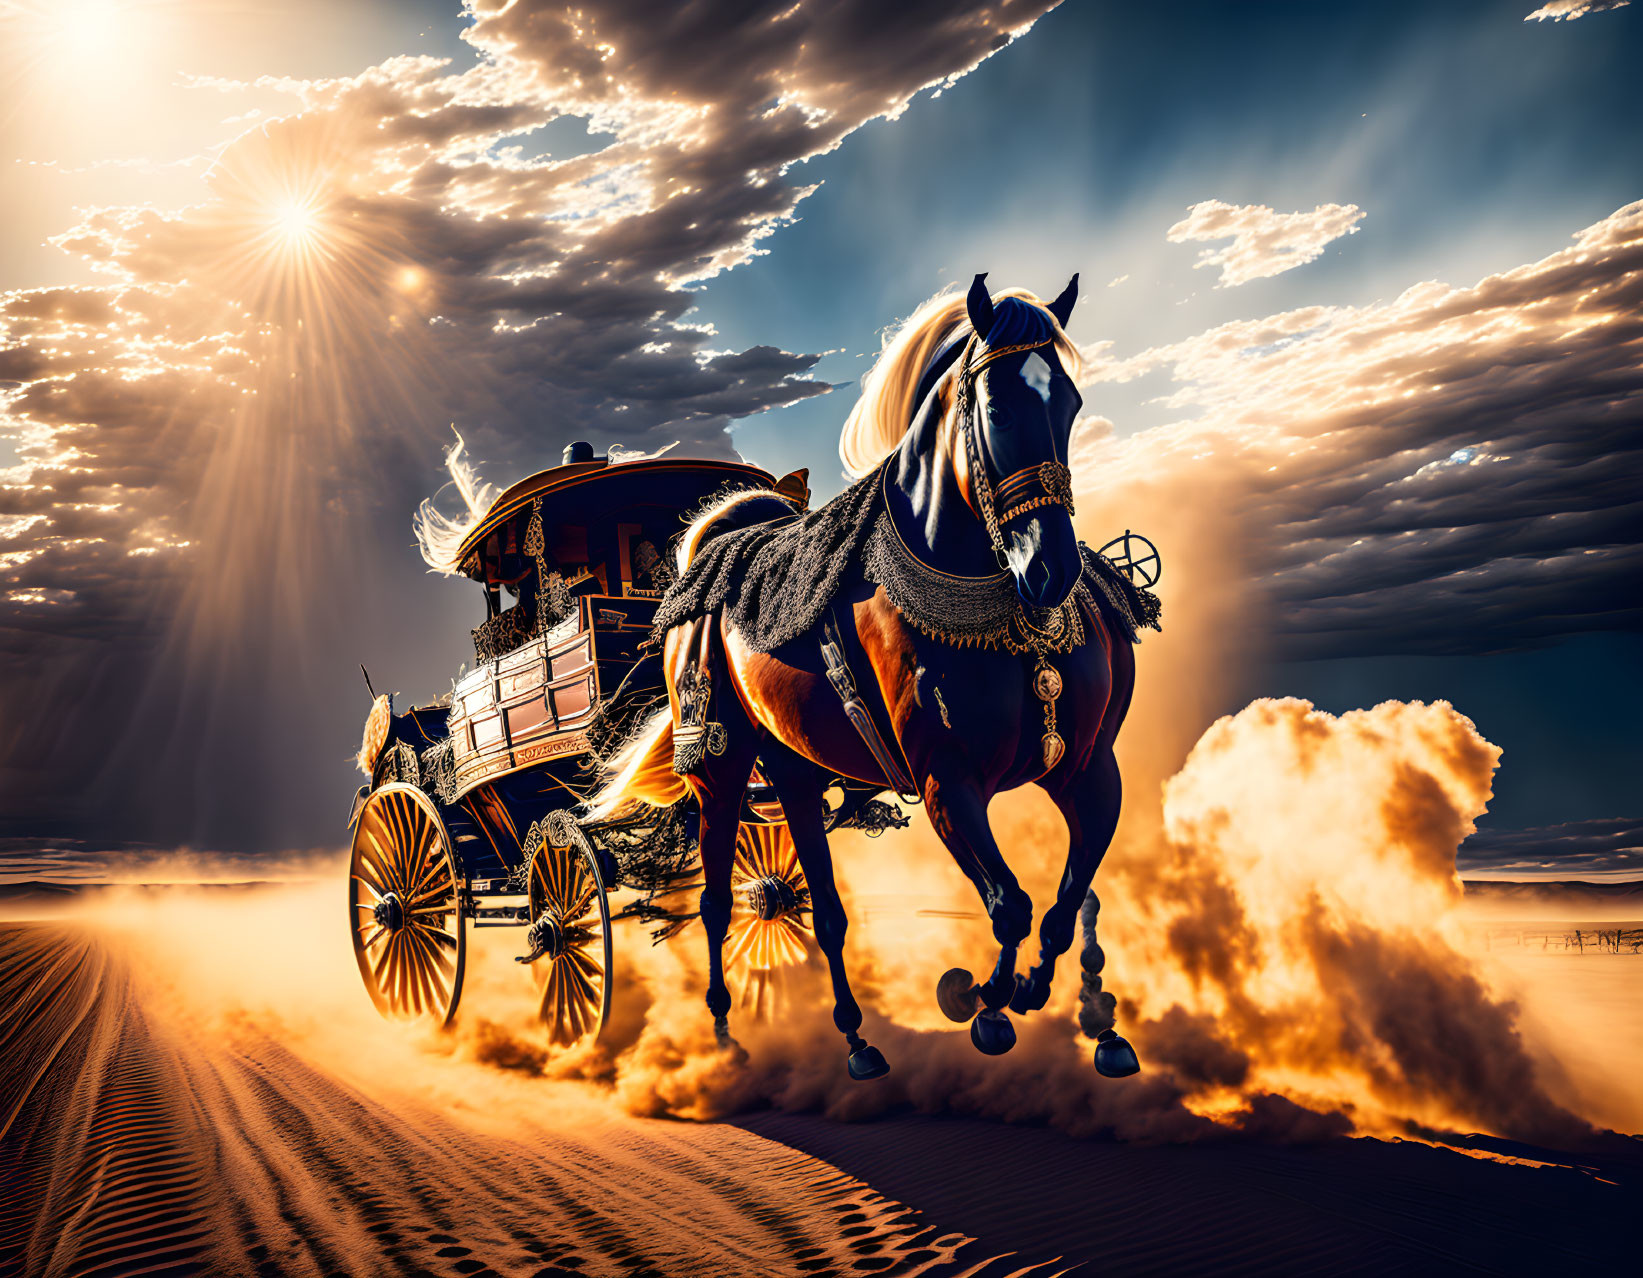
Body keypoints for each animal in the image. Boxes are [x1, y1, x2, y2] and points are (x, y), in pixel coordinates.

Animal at [591, 274, 1143, 1077]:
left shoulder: (1091, 772)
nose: (1051, 570)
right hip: (719, 768)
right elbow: (1010, 903)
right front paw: (984, 1001)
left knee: (822, 908)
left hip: (792, 767)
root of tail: (713, 549)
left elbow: (1066, 906)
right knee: (717, 901)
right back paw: (723, 1032)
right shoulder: (948, 780)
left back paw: (854, 1036)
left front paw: (1057, 1000)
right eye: (997, 408)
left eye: (1068, 402)